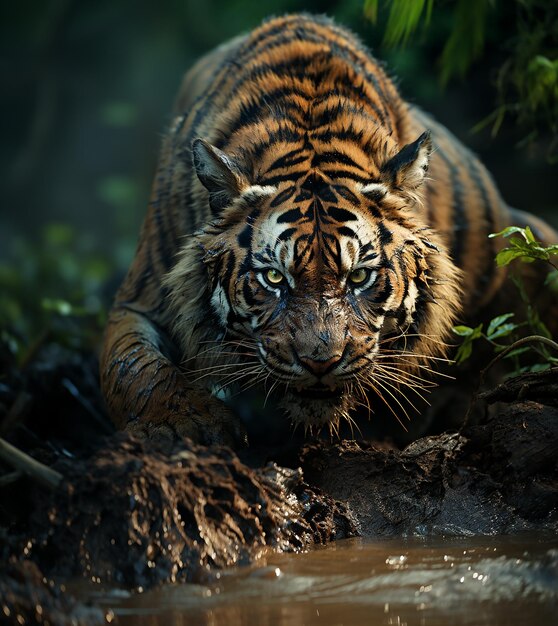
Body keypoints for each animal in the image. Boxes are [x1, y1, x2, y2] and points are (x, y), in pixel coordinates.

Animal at [100, 12, 558, 446]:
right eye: (273, 278)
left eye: (359, 277)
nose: (320, 362)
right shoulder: (143, 296)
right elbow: (132, 366)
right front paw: (189, 425)